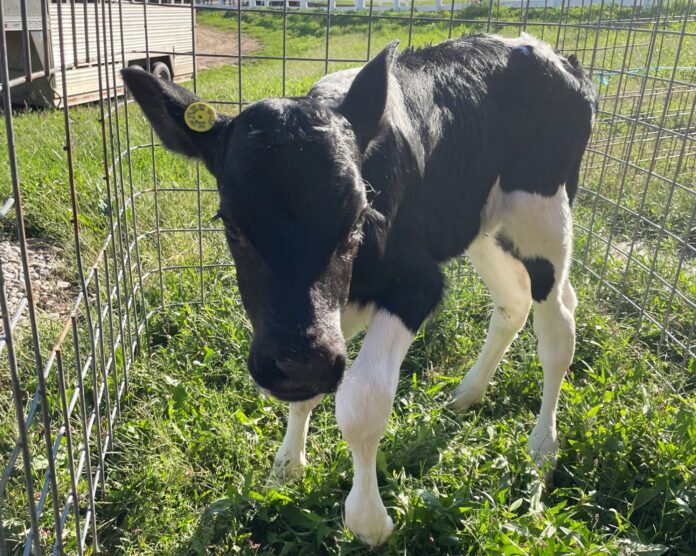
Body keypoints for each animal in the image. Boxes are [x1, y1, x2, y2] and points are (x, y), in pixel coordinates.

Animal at [122, 32, 596, 546]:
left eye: (358, 217)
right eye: (230, 224)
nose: (299, 362)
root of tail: (550, 52)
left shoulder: (415, 283)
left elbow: (362, 401)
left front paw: (369, 520)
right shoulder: (323, 323)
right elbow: (310, 394)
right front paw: (288, 466)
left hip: (544, 214)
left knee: (557, 327)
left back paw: (542, 449)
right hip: (476, 221)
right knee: (514, 299)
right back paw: (468, 393)